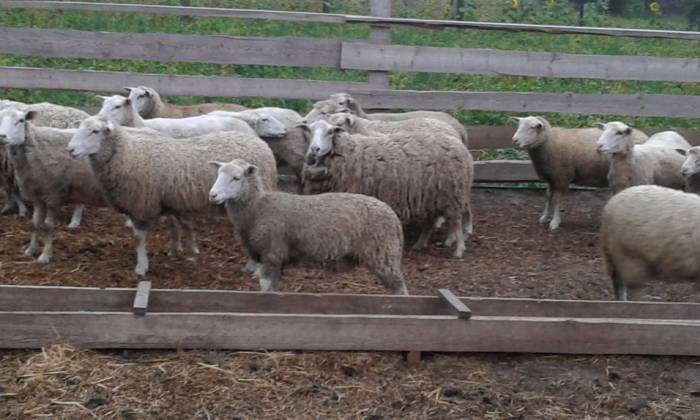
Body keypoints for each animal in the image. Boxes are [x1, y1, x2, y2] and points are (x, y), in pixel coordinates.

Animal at [0, 108, 104, 263]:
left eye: (21, 120)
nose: (2, 136)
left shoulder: (53, 195)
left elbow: (48, 226)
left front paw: (45, 256)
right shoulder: (37, 195)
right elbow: (35, 223)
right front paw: (30, 251)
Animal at [68, 116, 278, 276]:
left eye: (95, 131)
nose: (70, 149)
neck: (127, 153)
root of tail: (259, 142)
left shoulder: (141, 204)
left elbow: (139, 238)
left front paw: (141, 267)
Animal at [209, 158, 409, 295]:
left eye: (236, 178)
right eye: (218, 174)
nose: (212, 195)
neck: (257, 208)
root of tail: (392, 215)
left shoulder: (271, 255)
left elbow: (266, 289)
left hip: (383, 255)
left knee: (400, 289)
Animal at [301, 119, 472, 258]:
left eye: (330, 132)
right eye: (310, 130)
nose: (314, 149)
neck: (347, 153)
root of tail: (460, 145)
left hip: (452, 192)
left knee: (456, 221)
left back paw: (459, 249)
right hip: (432, 195)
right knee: (431, 221)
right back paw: (420, 244)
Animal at [511, 116, 646, 231]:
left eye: (531, 128)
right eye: (519, 125)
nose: (514, 140)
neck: (548, 142)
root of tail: (643, 135)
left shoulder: (561, 177)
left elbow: (556, 200)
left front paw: (555, 222)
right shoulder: (551, 177)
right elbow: (548, 196)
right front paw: (544, 217)